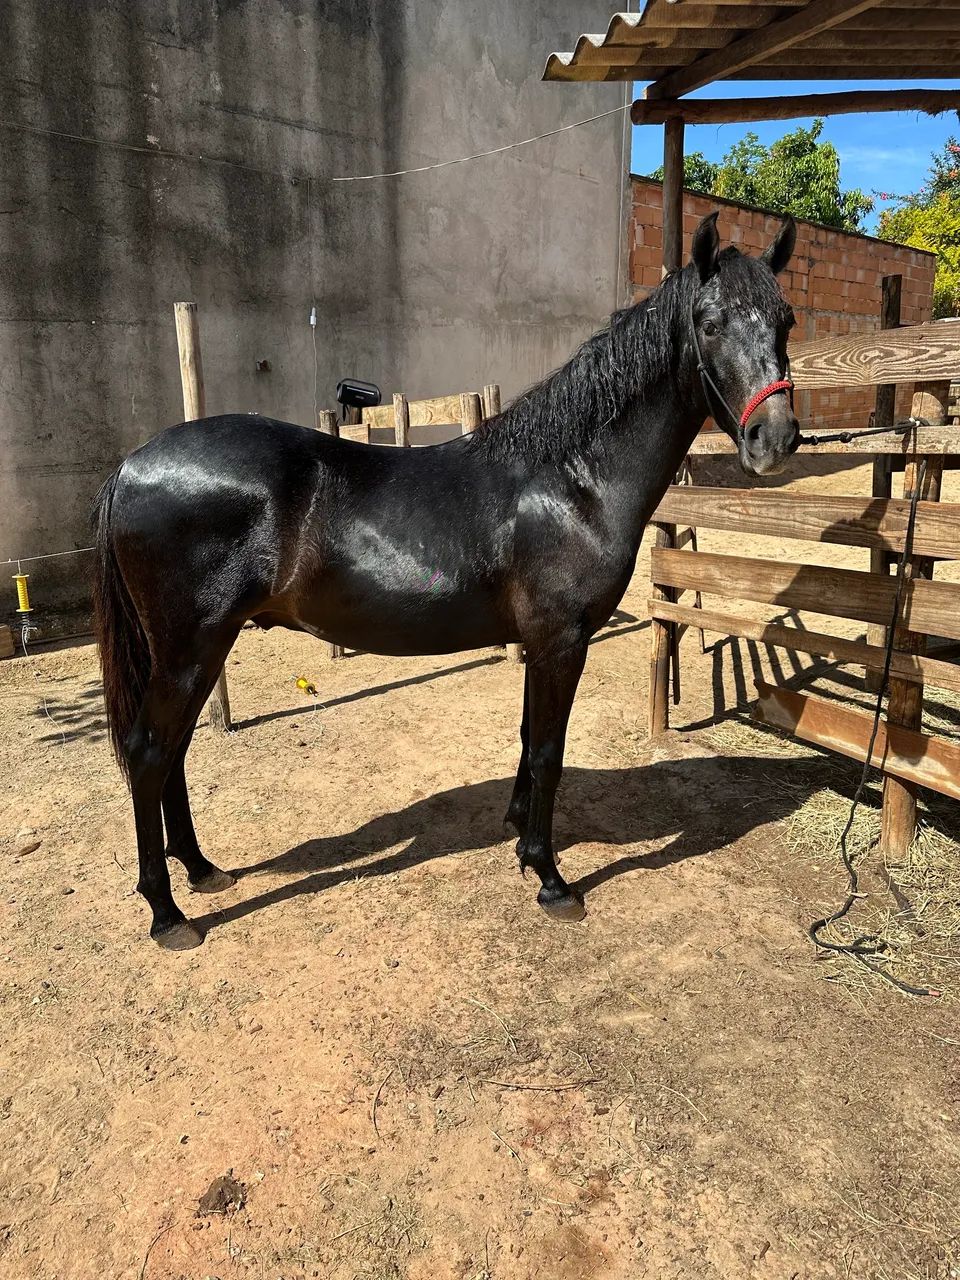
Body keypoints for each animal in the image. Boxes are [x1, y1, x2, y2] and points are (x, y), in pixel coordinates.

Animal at [92, 211, 799, 950]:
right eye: (710, 323)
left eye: (786, 320)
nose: (774, 440)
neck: (571, 478)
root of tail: (133, 464)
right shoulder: (562, 641)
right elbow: (548, 749)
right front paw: (551, 878)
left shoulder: (540, 644)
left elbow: (528, 739)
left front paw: (519, 836)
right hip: (189, 648)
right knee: (149, 753)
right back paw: (168, 913)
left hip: (200, 649)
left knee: (172, 751)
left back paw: (203, 870)